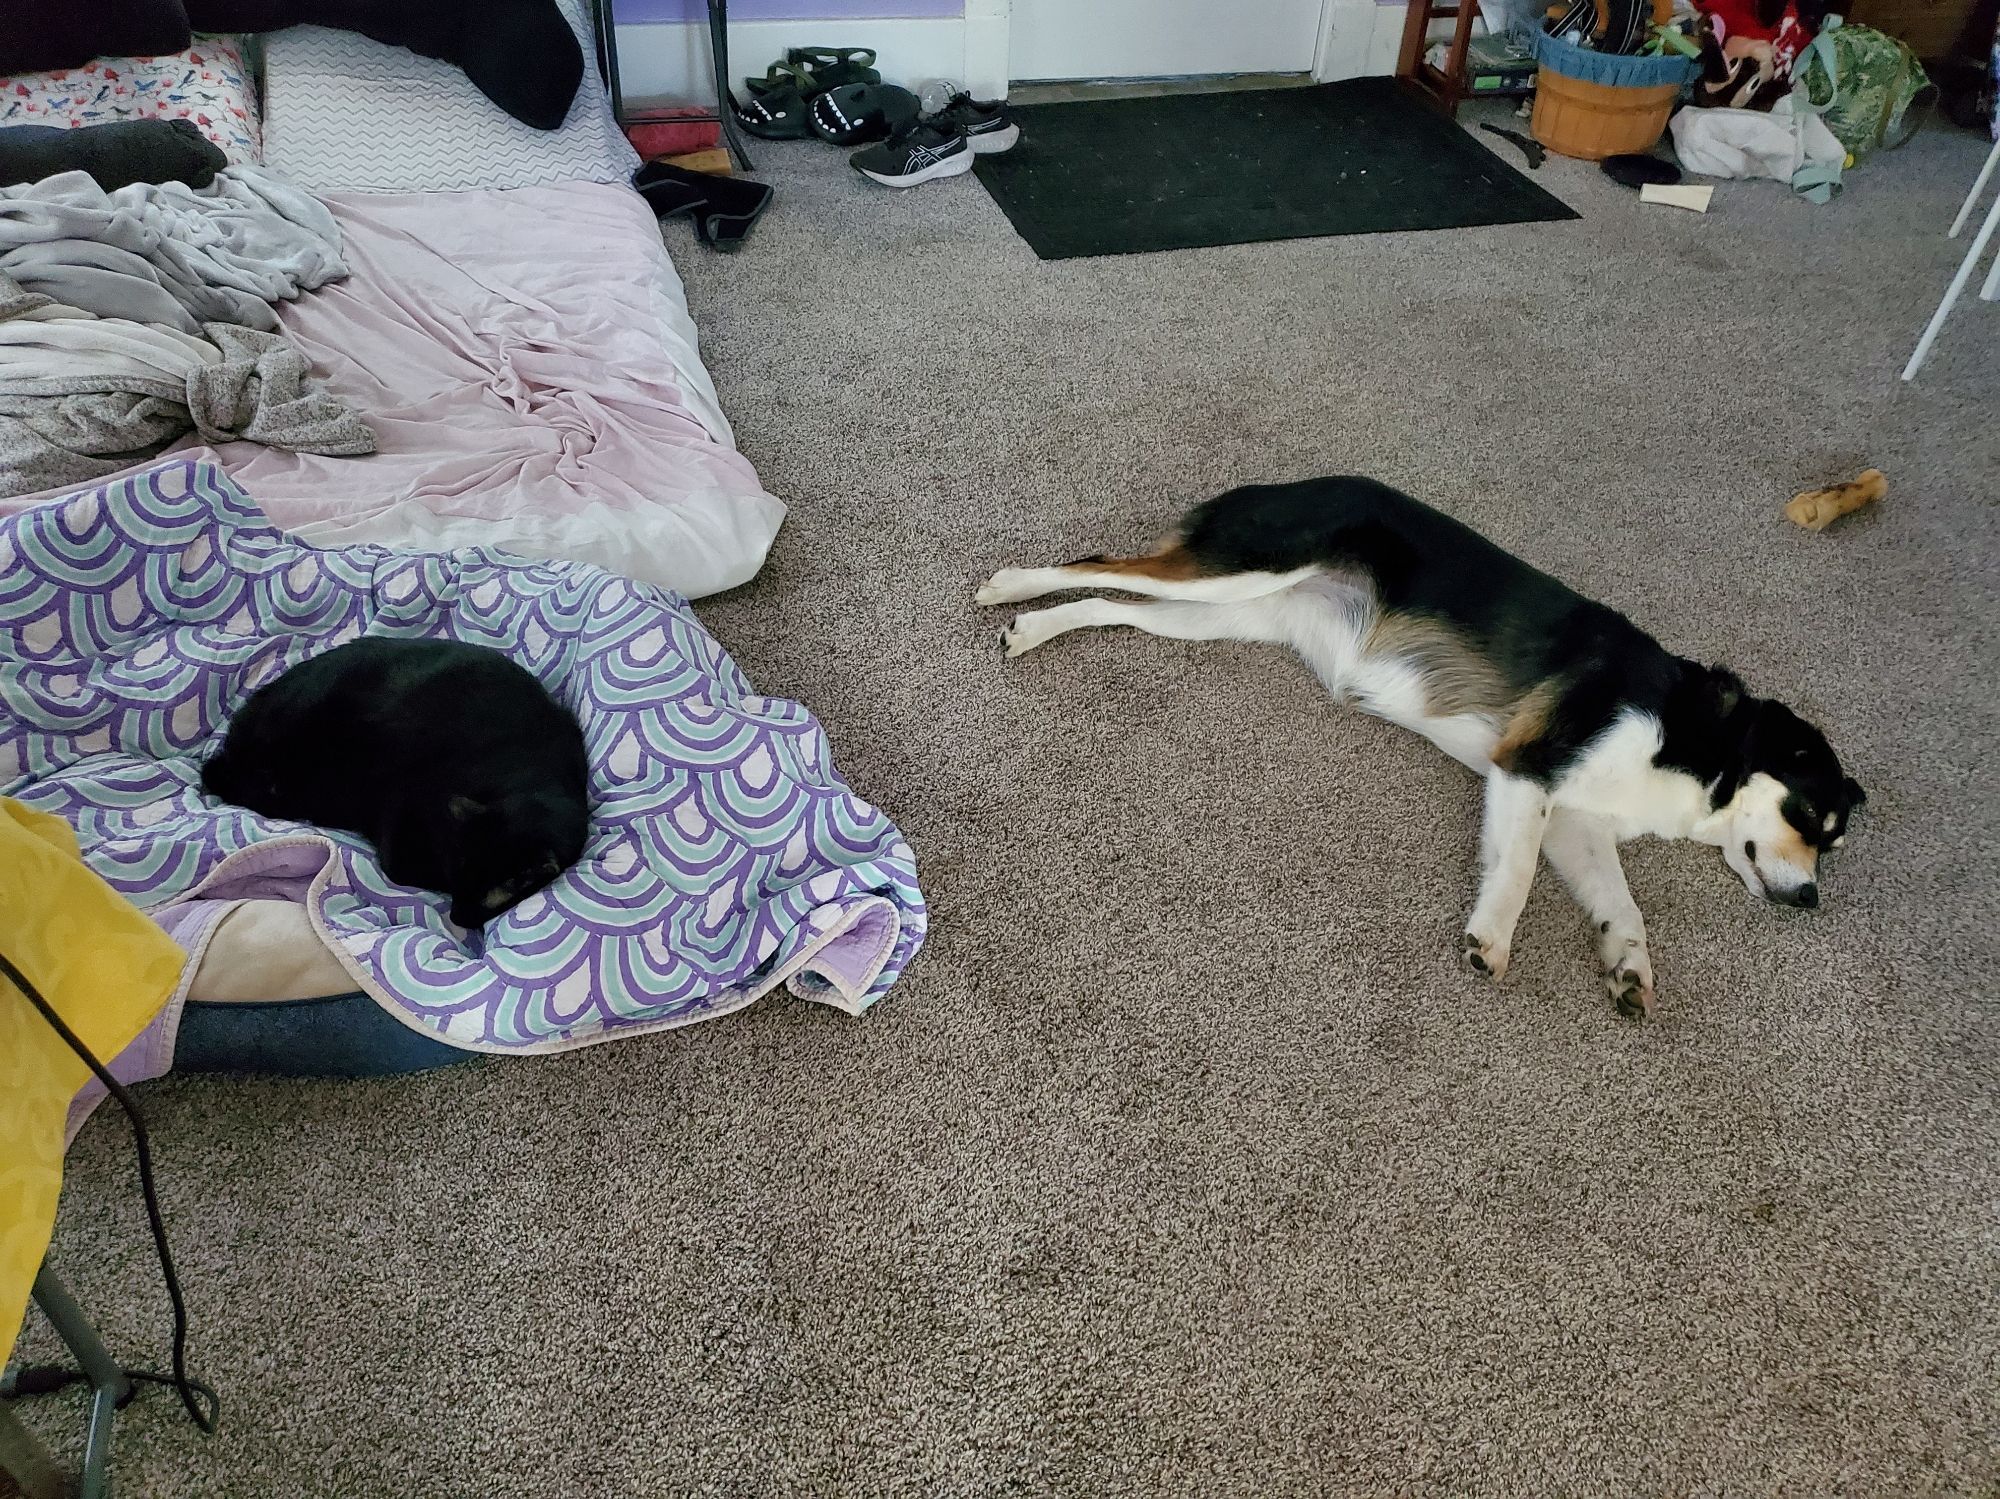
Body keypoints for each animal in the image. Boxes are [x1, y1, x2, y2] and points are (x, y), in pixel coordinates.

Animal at [205, 635, 592, 927]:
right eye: (458, 879)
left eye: (487, 899)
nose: (458, 918)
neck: (526, 775)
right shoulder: (403, 811)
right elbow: (405, 866)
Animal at [976, 477, 1864, 1023]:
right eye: (1809, 815)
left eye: (1834, 842)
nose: (1813, 900)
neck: (1702, 745)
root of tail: (1293, 478)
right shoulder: (1529, 769)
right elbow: (1515, 871)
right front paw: (1491, 939)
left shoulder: (1575, 817)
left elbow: (1623, 905)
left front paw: (1629, 968)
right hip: (1237, 571)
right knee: (1097, 564)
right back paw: (1011, 585)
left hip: (1228, 614)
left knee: (1108, 603)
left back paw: (1033, 628)